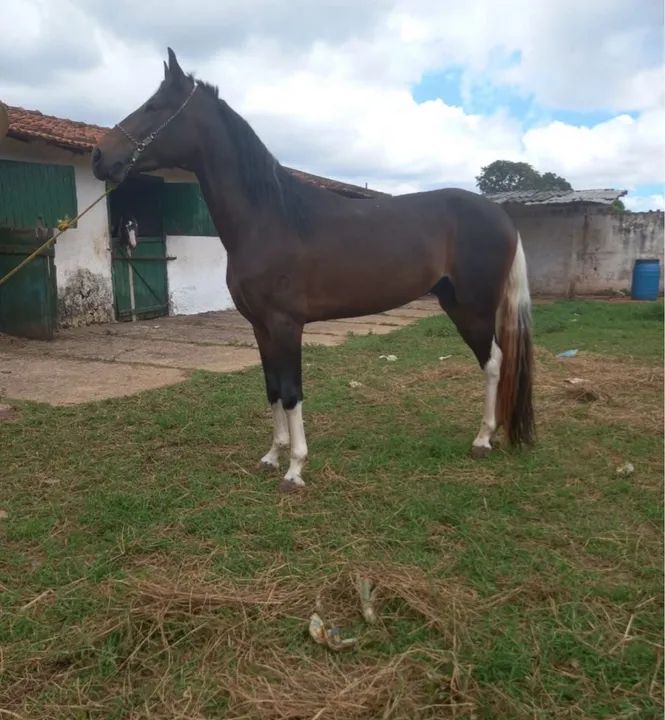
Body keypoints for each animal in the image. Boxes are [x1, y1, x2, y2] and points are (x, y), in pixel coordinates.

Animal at [92, 48, 534, 493]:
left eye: (155, 106)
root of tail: (501, 216)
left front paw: (295, 469)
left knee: (493, 362)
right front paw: (273, 456)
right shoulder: (260, 326)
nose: (99, 157)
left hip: (473, 308)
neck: (270, 218)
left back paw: (483, 439)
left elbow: (292, 392)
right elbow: (272, 388)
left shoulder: (287, 324)